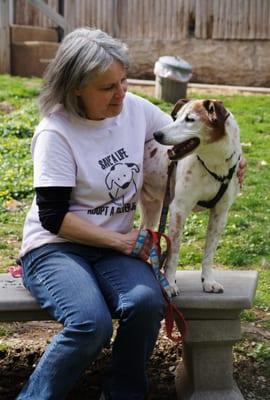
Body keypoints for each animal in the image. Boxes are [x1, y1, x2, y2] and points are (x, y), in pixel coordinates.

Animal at [140, 99, 242, 296]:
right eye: (176, 117)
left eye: (190, 119)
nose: (157, 134)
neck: (214, 163)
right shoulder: (179, 209)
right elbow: (173, 252)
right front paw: (170, 283)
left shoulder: (220, 214)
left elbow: (209, 253)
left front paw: (208, 281)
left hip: (153, 208)